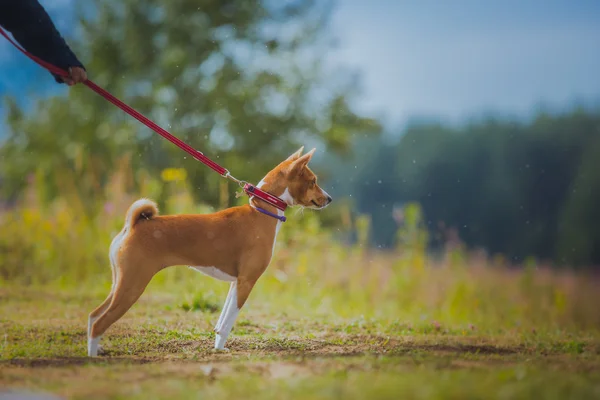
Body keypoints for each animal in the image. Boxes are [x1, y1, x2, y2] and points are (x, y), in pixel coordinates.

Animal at [88, 147, 332, 356]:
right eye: (313, 181)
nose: (329, 198)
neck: (262, 211)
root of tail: (134, 225)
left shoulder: (236, 282)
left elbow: (221, 321)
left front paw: (218, 349)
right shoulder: (247, 280)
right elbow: (228, 323)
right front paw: (222, 350)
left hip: (119, 283)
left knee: (93, 316)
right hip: (133, 284)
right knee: (99, 323)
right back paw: (93, 359)